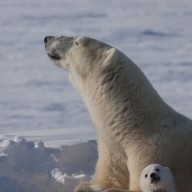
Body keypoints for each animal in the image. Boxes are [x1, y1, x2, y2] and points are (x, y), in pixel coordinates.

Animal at [44, 35, 192, 190]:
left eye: (77, 42)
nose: (47, 38)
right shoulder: (113, 149)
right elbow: (109, 176)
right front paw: (88, 186)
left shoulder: (150, 153)